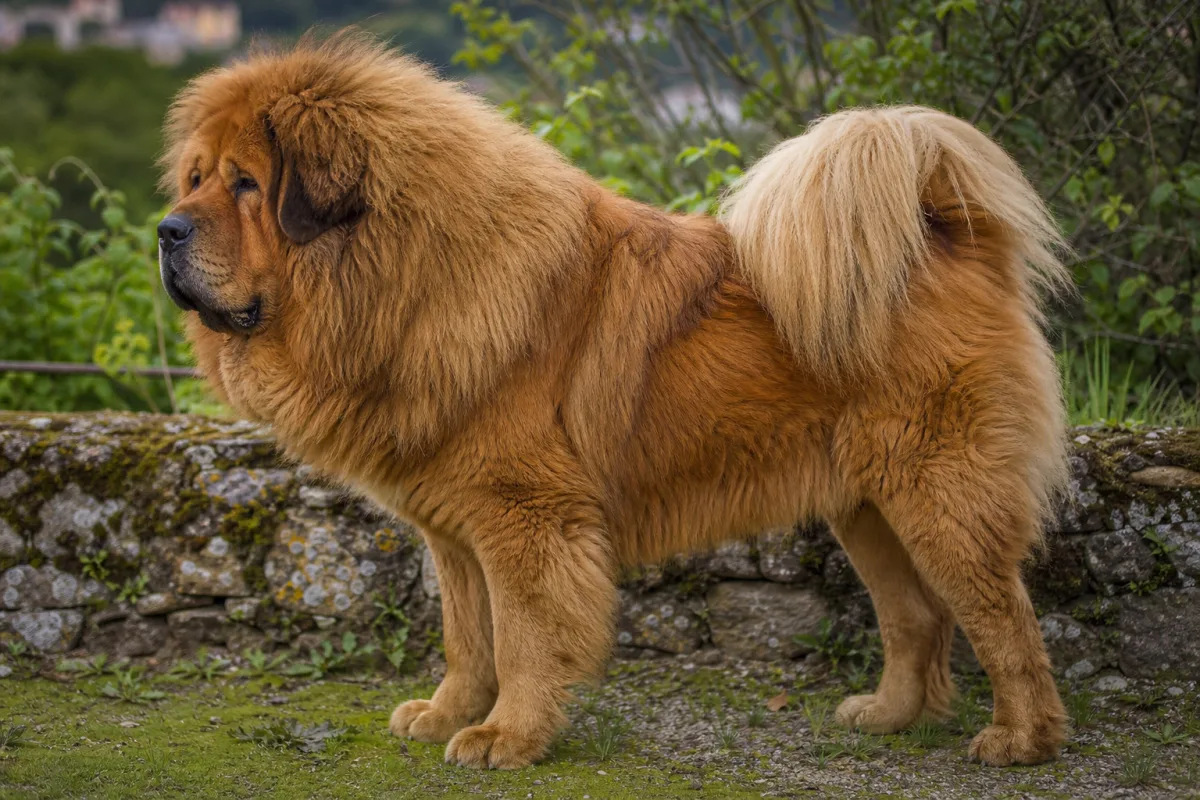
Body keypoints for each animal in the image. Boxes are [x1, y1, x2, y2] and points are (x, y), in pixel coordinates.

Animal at [158, 31, 1071, 770]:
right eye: (194, 180)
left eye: (245, 185)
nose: (166, 229)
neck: (414, 272)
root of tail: (948, 232)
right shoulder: (455, 533)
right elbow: (467, 638)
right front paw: (449, 713)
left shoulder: (526, 521)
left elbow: (523, 641)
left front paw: (506, 736)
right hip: (866, 506)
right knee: (916, 616)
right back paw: (888, 714)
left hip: (938, 496)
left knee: (1002, 617)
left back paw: (1021, 739)